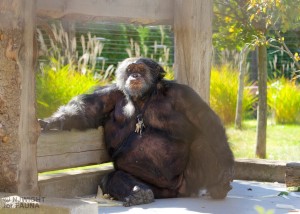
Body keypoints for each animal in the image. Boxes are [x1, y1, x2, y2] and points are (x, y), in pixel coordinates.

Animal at [38, 56, 234, 206]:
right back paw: (139, 192)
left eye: (141, 68)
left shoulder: (184, 95)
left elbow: (205, 120)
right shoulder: (108, 94)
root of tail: (175, 193)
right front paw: (52, 121)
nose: (135, 75)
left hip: (190, 182)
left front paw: (226, 169)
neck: (144, 97)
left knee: (204, 141)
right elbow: (86, 110)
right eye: (130, 68)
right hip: (156, 188)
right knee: (112, 177)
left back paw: (218, 187)